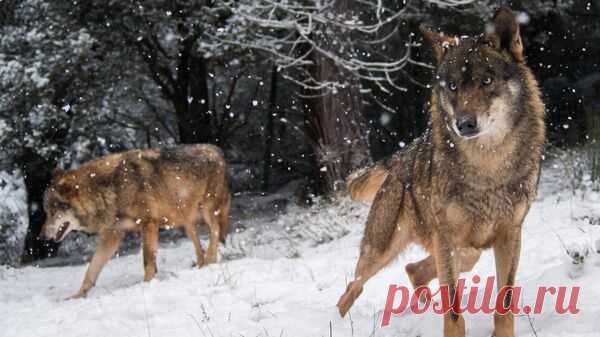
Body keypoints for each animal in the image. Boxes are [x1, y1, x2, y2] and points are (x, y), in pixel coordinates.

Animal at [41, 143, 231, 298]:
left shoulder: (149, 225)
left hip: (207, 210)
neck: (111, 189)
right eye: (46, 212)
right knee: (200, 245)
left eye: (53, 212)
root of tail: (217, 150)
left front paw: (147, 285)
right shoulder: (112, 236)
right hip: (186, 222)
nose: (41, 237)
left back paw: (211, 260)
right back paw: (201, 265)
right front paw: (77, 296)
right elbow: (91, 269)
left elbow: (147, 261)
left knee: (215, 231)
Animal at [338, 7, 544, 336]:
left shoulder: (511, 233)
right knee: (351, 289)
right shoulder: (446, 238)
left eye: (486, 80)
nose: (464, 124)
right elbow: (454, 311)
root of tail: (399, 158)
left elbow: (505, 302)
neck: (488, 166)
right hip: (382, 251)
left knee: (414, 270)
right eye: (453, 86)